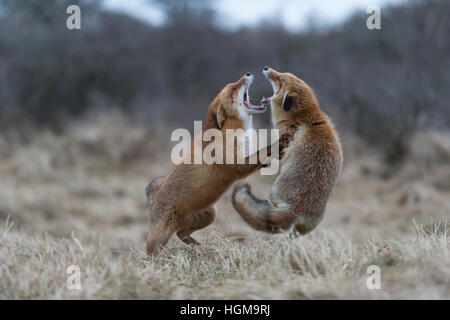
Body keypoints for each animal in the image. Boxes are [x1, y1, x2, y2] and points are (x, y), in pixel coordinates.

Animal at [230, 67, 342, 235]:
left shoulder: (284, 142)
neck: (302, 117)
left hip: (276, 189)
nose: (266, 67)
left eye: (280, 80)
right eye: (282, 74)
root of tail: (299, 207)